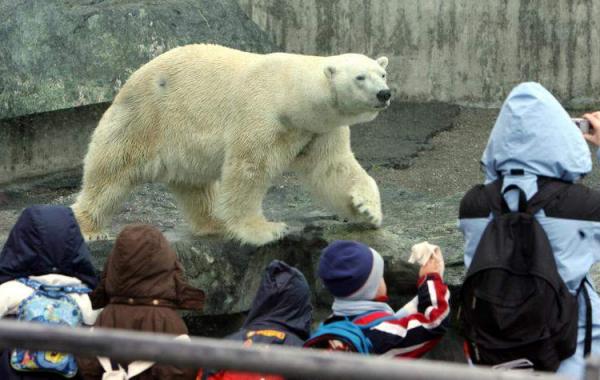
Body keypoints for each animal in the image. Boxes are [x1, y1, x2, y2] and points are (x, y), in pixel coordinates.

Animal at [72, 44, 392, 246]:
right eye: (360, 77)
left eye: (382, 73)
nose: (384, 93)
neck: (290, 93)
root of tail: (130, 80)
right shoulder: (261, 114)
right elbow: (248, 169)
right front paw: (266, 230)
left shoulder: (317, 129)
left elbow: (333, 168)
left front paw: (367, 211)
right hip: (145, 119)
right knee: (111, 173)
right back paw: (89, 228)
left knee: (196, 187)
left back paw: (214, 222)